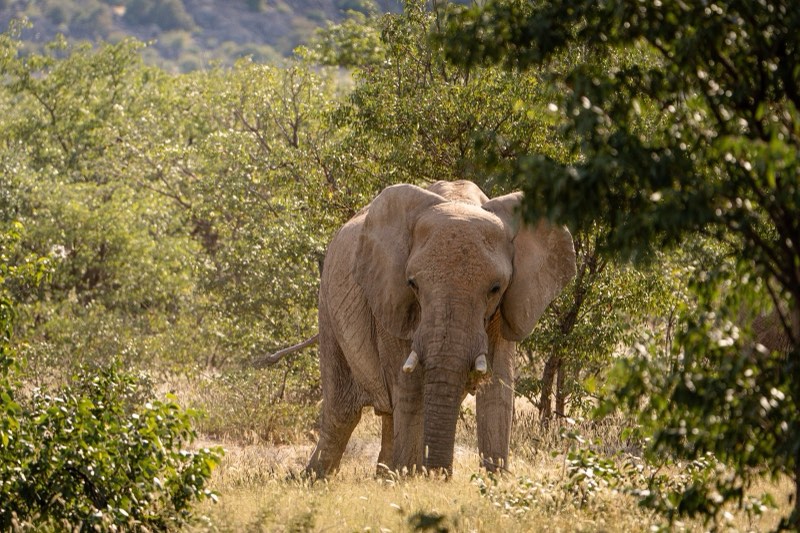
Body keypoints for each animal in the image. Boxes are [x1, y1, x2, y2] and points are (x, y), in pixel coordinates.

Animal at [306, 180, 576, 478]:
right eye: (412, 284)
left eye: (495, 288)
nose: (440, 475)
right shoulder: (390, 296)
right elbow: (410, 384)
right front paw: (411, 479)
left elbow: (497, 386)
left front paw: (494, 480)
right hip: (328, 306)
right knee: (342, 411)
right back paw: (313, 479)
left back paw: (384, 478)